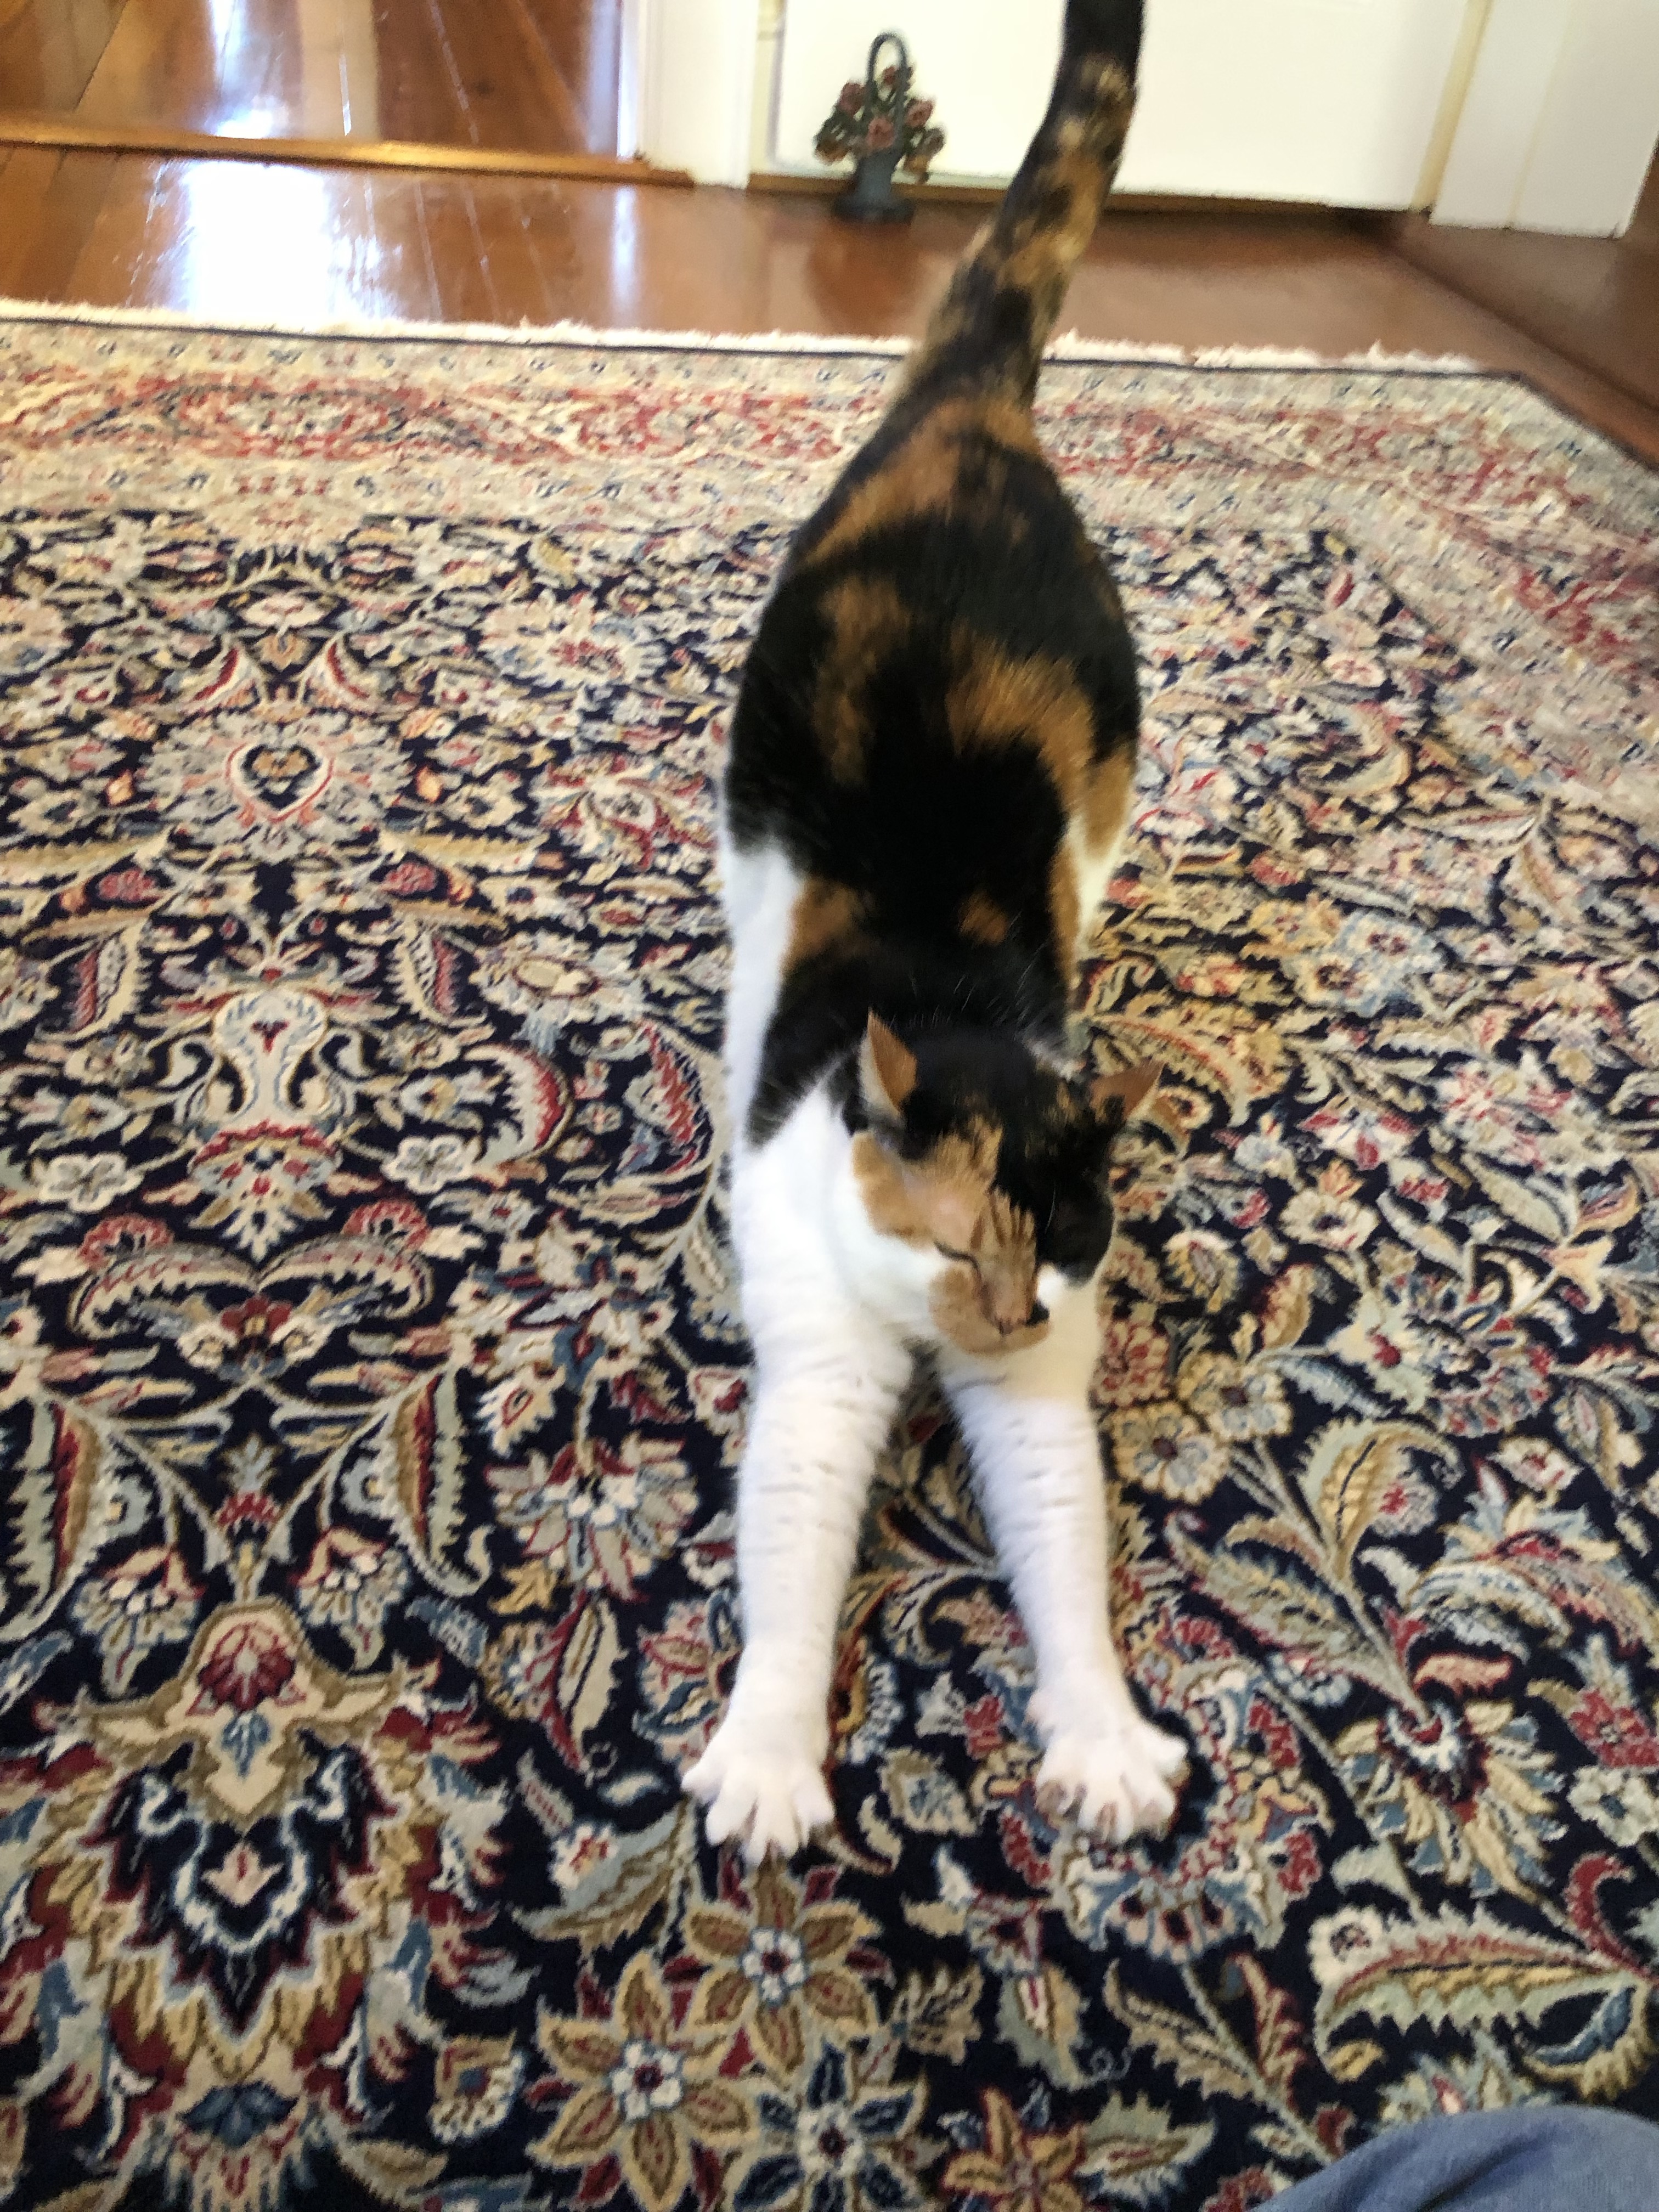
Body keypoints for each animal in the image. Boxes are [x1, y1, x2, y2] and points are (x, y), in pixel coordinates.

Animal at [685, 0, 1189, 1865]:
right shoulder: (820, 1367)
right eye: (963, 1244)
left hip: (1109, 798)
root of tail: (973, 407)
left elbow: (1062, 1547)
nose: (1015, 1320)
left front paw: (1102, 1741)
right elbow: (789, 1563)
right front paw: (768, 1765)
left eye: (1058, 1246)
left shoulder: (1048, 1402)